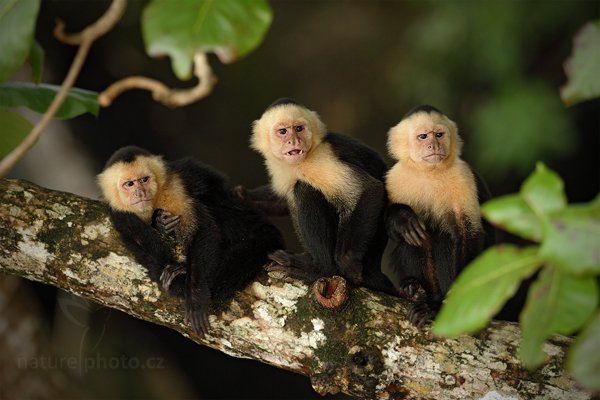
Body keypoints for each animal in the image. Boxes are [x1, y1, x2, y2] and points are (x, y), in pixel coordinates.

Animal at [97, 146, 284, 334]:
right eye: (129, 184)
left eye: (144, 180)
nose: (140, 192)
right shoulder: (117, 209)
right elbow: (137, 239)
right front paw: (161, 230)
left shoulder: (173, 187)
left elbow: (202, 228)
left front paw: (195, 297)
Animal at [248, 98, 398, 296]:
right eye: (282, 131)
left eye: (299, 128)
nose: (293, 141)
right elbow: (280, 200)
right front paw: (240, 194)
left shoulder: (320, 158)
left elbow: (369, 189)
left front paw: (346, 263)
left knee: (302, 189)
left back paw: (319, 268)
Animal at [384, 105, 496, 324]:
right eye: (423, 136)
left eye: (439, 135)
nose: (433, 145)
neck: (429, 172)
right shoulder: (395, 177)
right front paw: (402, 218)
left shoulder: (463, 176)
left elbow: (467, 233)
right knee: (413, 238)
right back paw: (414, 288)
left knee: (443, 237)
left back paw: (433, 305)